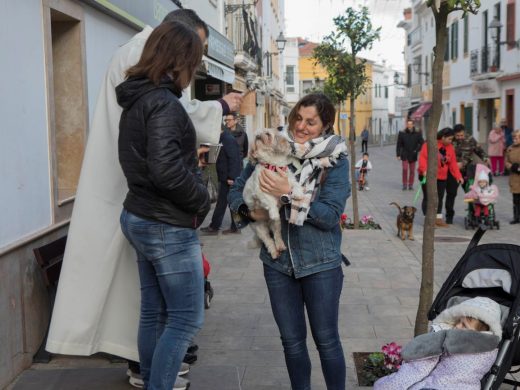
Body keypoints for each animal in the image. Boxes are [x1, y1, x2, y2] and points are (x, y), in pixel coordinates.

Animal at [245, 128, 304, 258]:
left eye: (267, 134)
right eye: (256, 135)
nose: (258, 136)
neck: (273, 166)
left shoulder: (290, 180)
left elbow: (296, 186)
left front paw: (299, 194)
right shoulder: (260, 191)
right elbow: (270, 201)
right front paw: (274, 212)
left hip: (276, 225)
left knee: (277, 235)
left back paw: (281, 246)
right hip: (260, 229)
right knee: (268, 241)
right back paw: (274, 252)